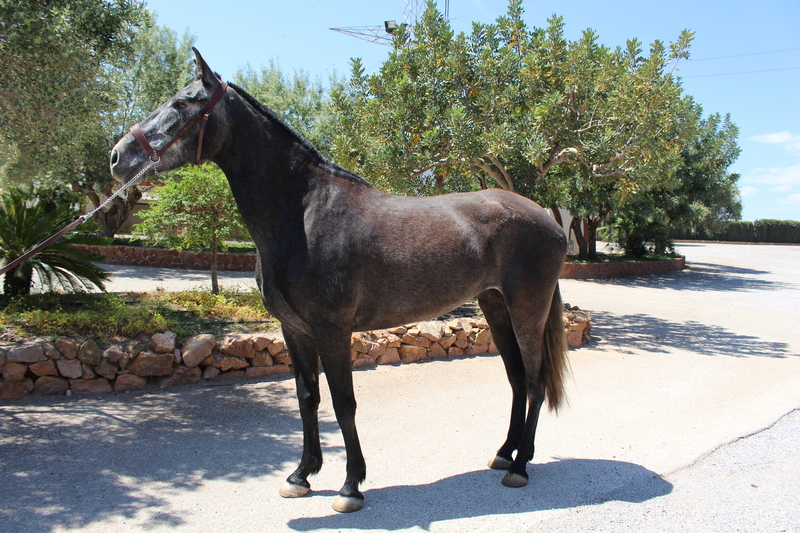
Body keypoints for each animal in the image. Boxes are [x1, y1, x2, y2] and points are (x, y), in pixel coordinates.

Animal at [110, 48, 569, 513]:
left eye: (183, 103)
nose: (118, 156)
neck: (305, 212)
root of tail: (546, 218)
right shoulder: (294, 330)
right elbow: (307, 399)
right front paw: (301, 474)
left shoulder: (332, 329)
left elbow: (343, 404)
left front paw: (351, 485)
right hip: (495, 305)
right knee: (515, 378)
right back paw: (505, 453)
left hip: (527, 309)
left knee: (534, 380)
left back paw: (519, 467)